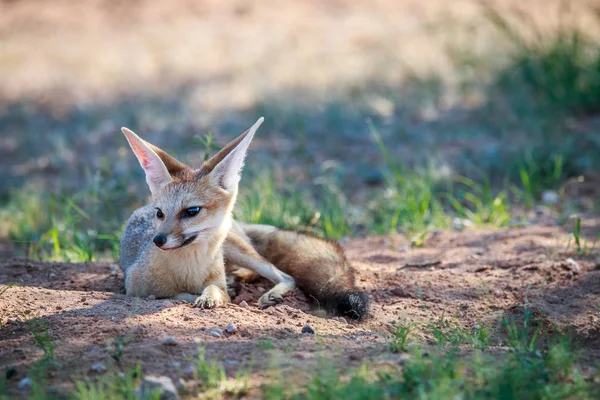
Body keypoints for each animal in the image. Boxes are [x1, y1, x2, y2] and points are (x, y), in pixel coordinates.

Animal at [119, 117, 368, 320]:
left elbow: (215, 291)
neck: (190, 270)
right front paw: (202, 294)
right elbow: (176, 295)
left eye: (191, 211)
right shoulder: (135, 289)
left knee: (285, 276)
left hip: (239, 250)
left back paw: (263, 291)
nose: (158, 240)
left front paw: (210, 295)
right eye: (159, 213)